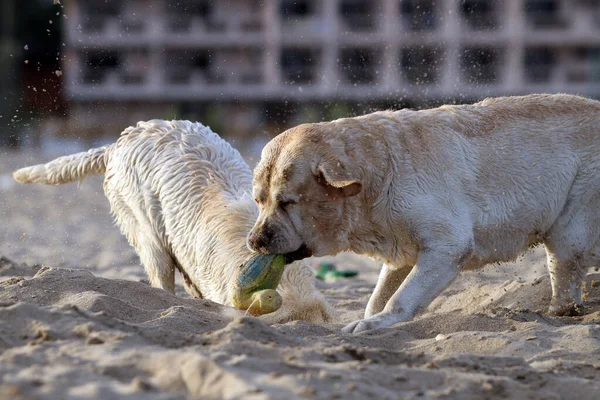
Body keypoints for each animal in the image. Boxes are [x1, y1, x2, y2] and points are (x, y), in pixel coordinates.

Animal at [247, 93, 600, 332]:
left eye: (287, 202)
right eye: (259, 201)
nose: (254, 241)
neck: (377, 177)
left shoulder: (448, 247)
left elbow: (399, 298)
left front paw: (375, 323)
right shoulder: (401, 252)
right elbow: (377, 297)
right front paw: (372, 318)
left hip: (572, 222)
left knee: (566, 269)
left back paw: (558, 311)